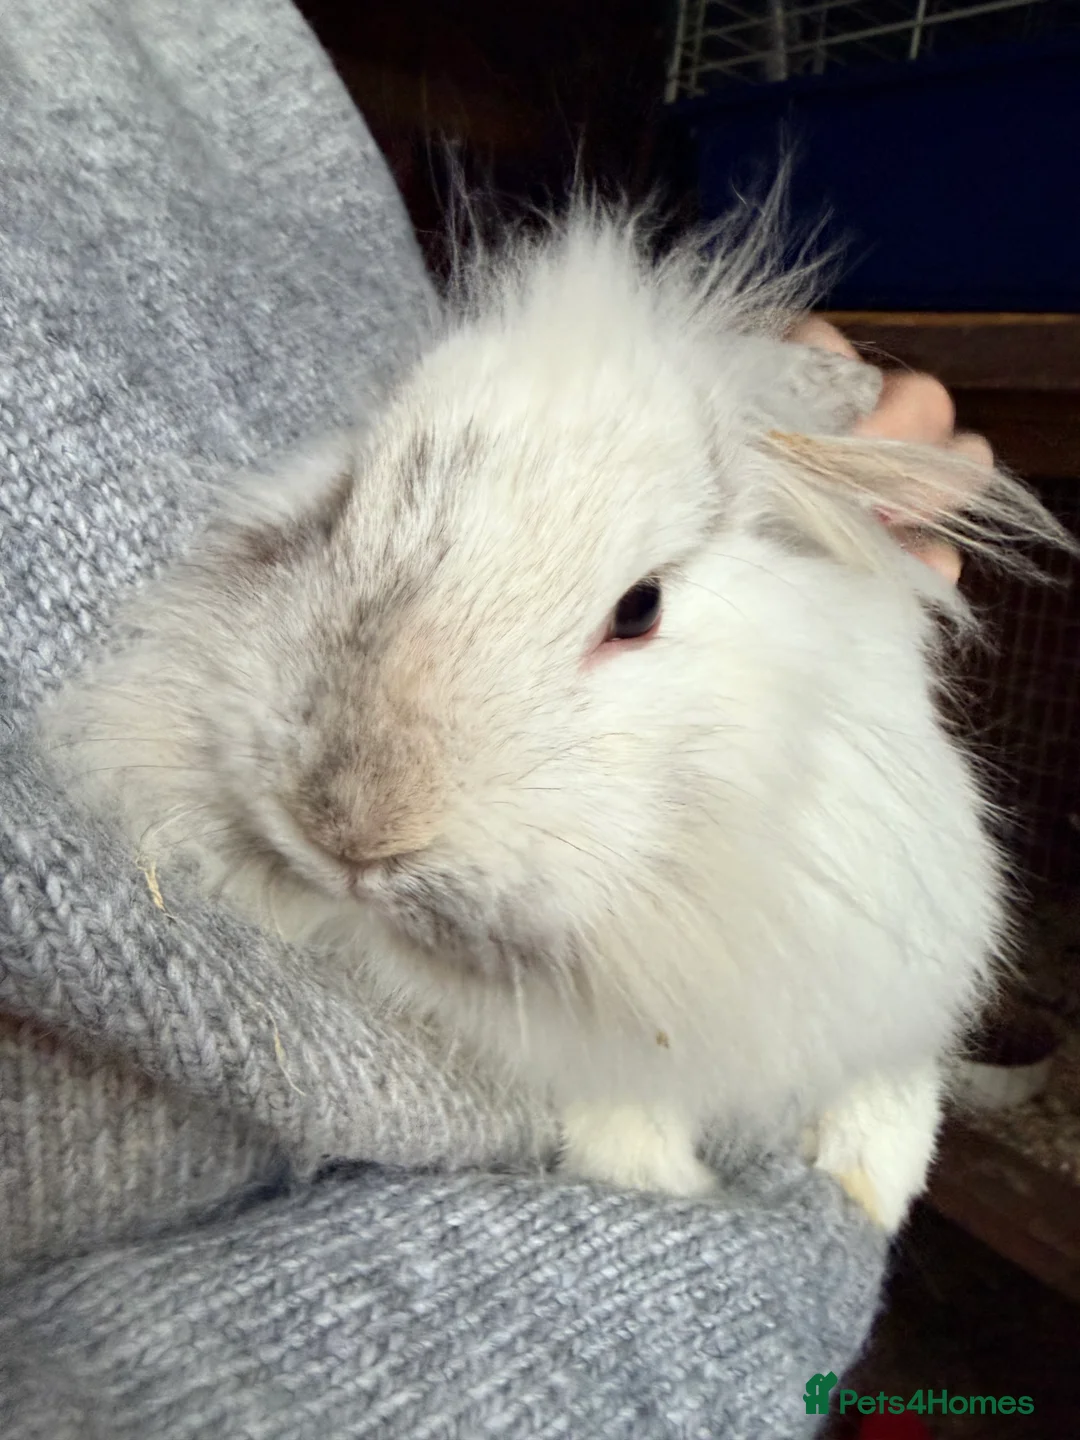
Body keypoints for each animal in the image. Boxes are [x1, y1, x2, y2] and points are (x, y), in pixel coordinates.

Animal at [43, 194, 1068, 1233]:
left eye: (640, 608)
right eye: (335, 514)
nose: (350, 834)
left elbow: (889, 1079)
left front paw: (874, 1189)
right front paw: (659, 1180)